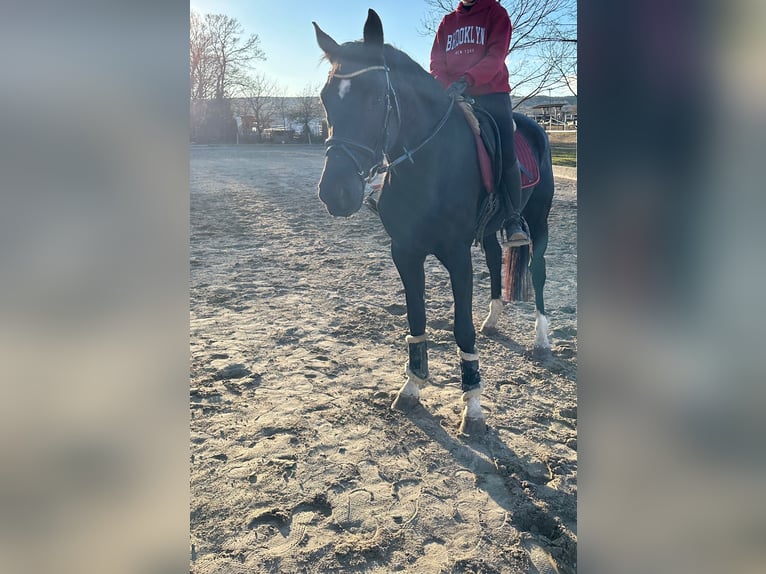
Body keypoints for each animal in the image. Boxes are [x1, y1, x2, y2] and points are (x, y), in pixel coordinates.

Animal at [313, 9, 554, 434]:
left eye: (377, 97)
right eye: (326, 99)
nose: (335, 192)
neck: (428, 164)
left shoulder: (456, 255)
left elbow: (461, 329)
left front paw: (472, 408)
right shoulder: (405, 253)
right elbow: (416, 318)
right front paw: (411, 386)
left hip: (537, 222)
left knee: (538, 273)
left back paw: (540, 340)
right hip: (488, 233)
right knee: (495, 261)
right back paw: (494, 319)